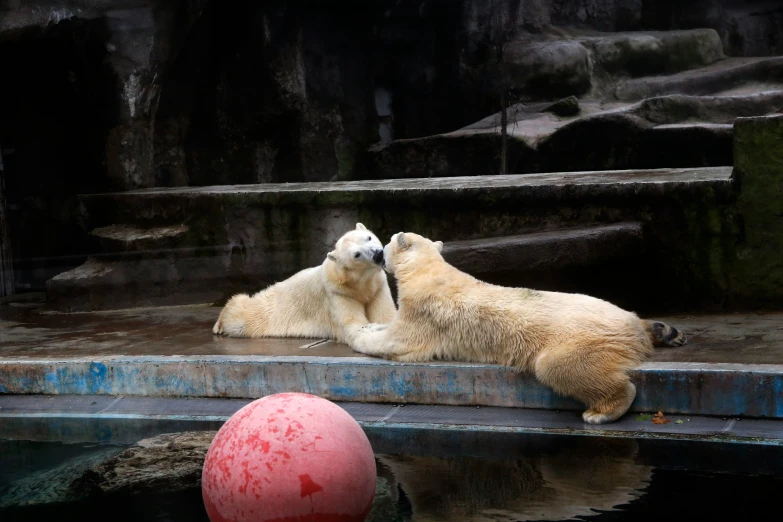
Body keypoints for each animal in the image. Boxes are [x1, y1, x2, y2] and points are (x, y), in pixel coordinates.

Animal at [213, 222, 398, 342]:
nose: (378, 254)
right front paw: (368, 329)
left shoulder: (378, 287)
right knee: (240, 312)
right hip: (263, 312)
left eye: (369, 237)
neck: (359, 283)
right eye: (356, 255)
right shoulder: (337, 293)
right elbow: (352, 322)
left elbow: (386, 314)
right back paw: (219, 325)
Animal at [352, 231, 688, 422]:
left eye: (385, 243)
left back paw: (601, 412)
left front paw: (361, 335)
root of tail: (631, 328)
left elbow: (399, 342)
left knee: (558, 366)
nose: (379, 255)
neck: (429, 272)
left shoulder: (423, 313)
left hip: (583, 338)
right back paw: (663, 331)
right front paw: (369, 328)